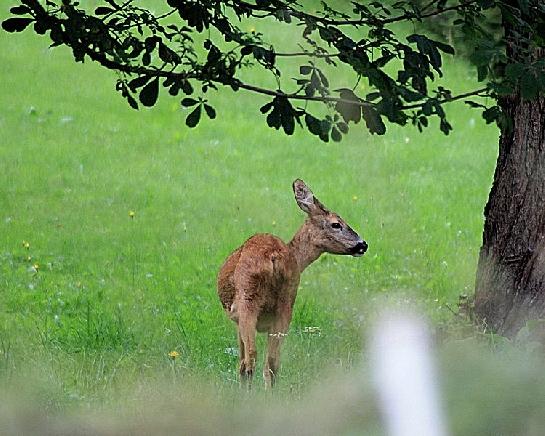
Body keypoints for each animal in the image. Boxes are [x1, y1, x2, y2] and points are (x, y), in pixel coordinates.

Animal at [216, 179, 366, 390]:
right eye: (336, 224)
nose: (363, 244)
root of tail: (274, 256)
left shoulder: (236, 319)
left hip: (247, 300)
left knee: (250, 359)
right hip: (287, 302)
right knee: (272, 362)